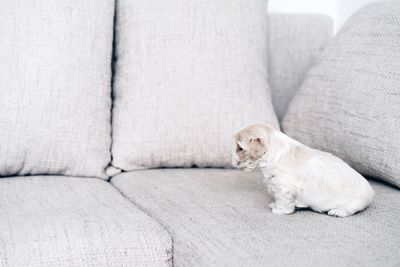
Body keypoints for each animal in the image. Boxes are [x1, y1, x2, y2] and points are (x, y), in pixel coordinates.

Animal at [231, 123, 376, 218]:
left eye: (240, 148)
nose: (232, 161)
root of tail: (371, 193)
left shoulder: (285, 188)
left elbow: (283, 202)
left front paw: (279, 210)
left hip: (353, 203)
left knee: (350, 210)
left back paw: (337, 212)